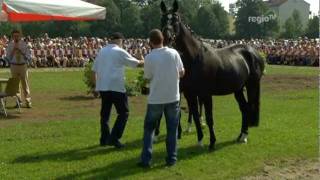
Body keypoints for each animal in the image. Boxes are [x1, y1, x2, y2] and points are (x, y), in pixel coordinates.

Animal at [160, 0, 264, 150]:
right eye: (162, 19)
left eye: (175, 19)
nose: (166, 39)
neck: (195, 57)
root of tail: (253, 52)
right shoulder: (190, 94)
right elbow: (196, 116)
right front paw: (200, 141)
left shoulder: (205, 94)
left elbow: (209, 118)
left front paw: (212, 142)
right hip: (238, 89)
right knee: (244, 109)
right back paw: (241, 136)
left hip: (252, 86)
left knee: (249, 107)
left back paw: (244, 136)